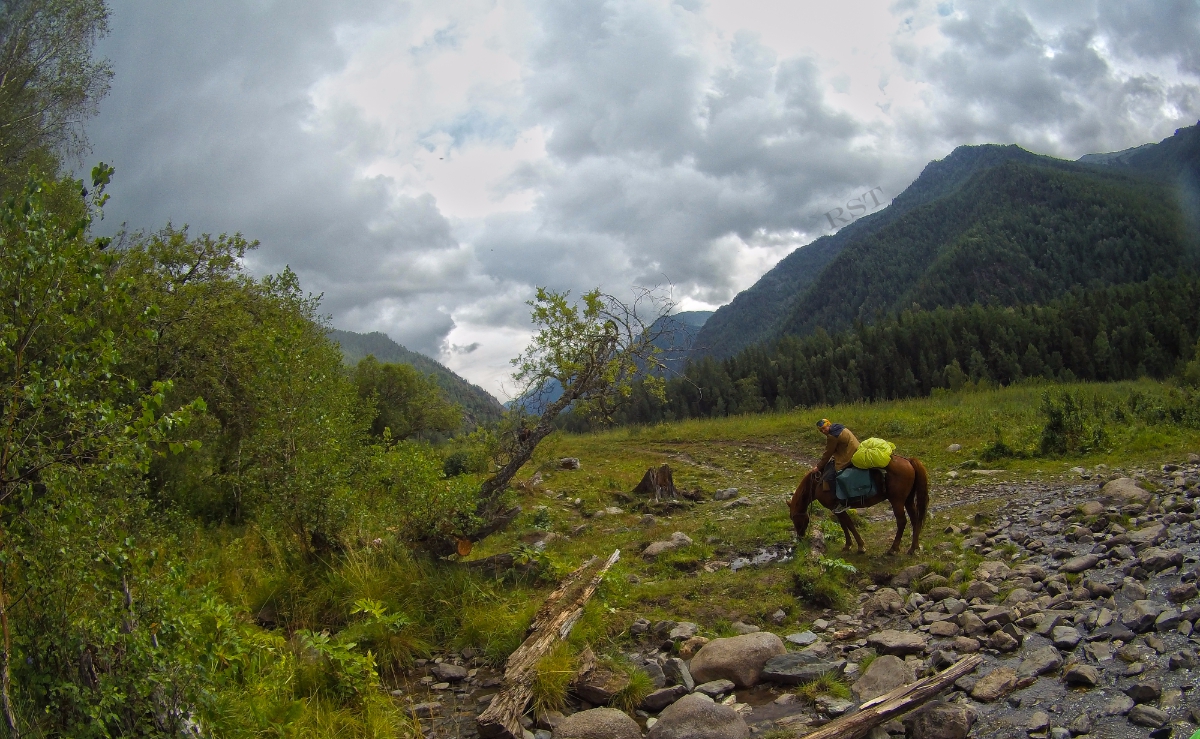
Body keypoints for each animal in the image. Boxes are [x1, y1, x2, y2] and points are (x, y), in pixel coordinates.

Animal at [792, 455, 931, 554]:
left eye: (794, 518)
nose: (800, 537)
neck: (817, 483)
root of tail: (909, 461)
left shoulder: (835, 508)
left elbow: (849, 524)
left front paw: (860, 546)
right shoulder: (837, 509)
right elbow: (844, 525)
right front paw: (848, 545)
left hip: (897, 501)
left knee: (902, 522)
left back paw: (893, 548)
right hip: (908, 500)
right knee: (915, 520)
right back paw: (913, 548)